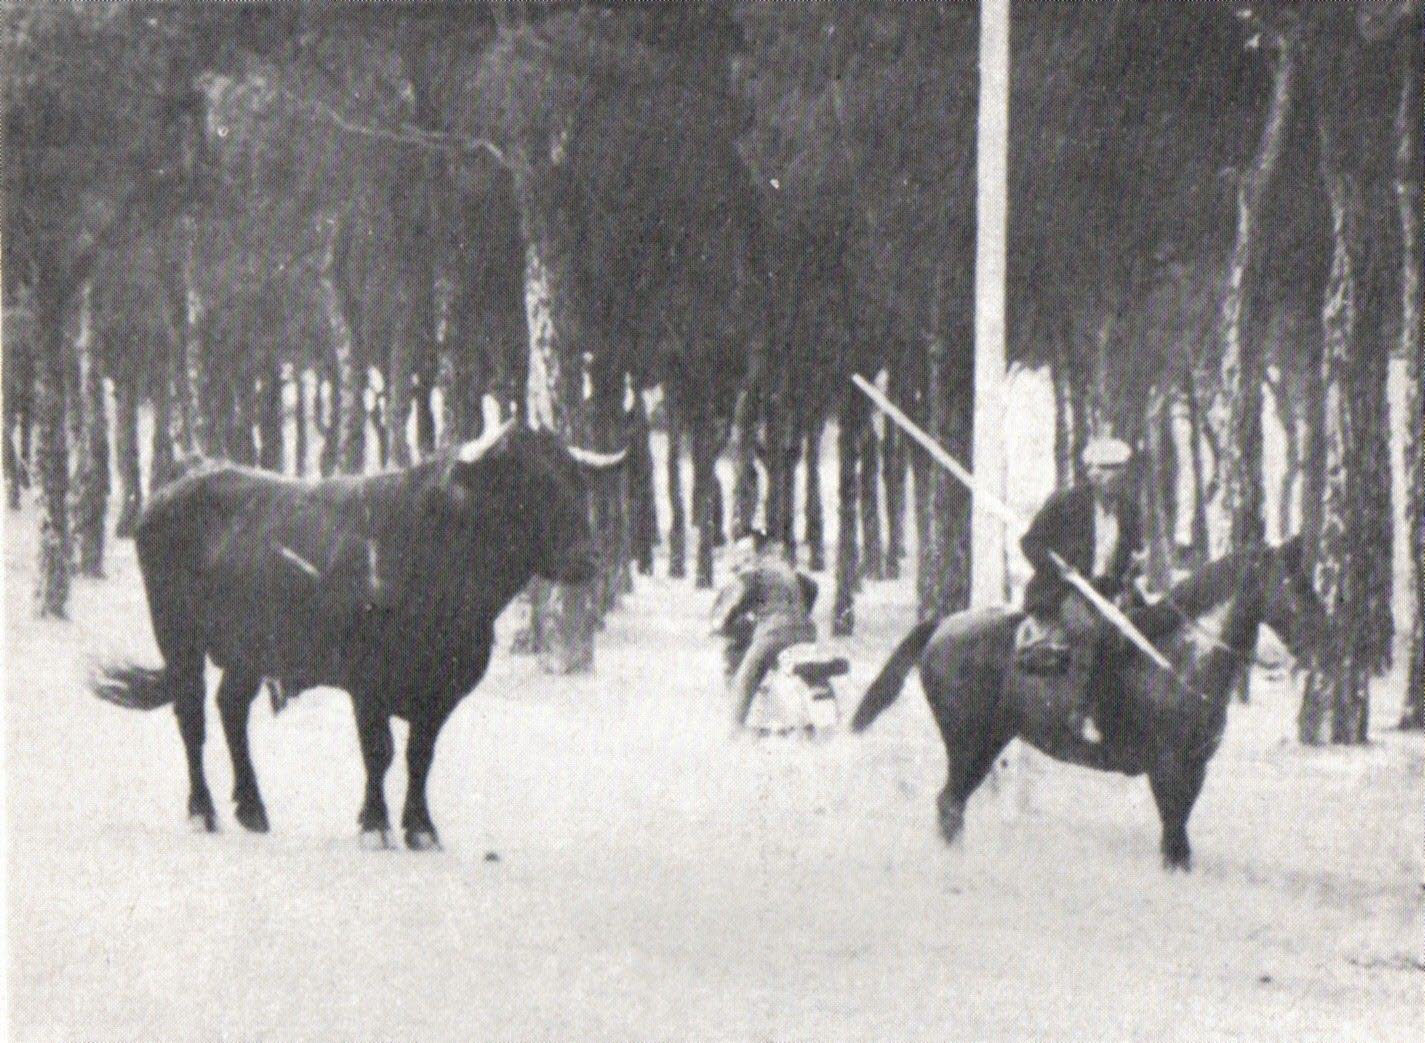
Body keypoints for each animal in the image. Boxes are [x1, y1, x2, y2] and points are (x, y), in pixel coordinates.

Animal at [91, 421, 621, 849]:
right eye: (524, 484)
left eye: (576, 483)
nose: (589, 557)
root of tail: (171, 493)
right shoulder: (368, 684)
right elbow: (380, 751)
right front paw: (375, 824)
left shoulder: (441, 692)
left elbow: (420, 756)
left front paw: (422, 828)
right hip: (178, 637)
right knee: (191, 717)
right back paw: (203, 811)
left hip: (249, 653)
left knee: (231, 710)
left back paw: (253, 809)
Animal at [843, 538, 1322, 872]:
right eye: (1289, 583)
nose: (1324, 639)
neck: (1179, 659)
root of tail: (943, 624)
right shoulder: (1168, 768)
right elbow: (1172, 836)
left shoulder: (1194, 768)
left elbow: (1179, 838)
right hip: (969, 745)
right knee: (949, 803)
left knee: (952, 806)